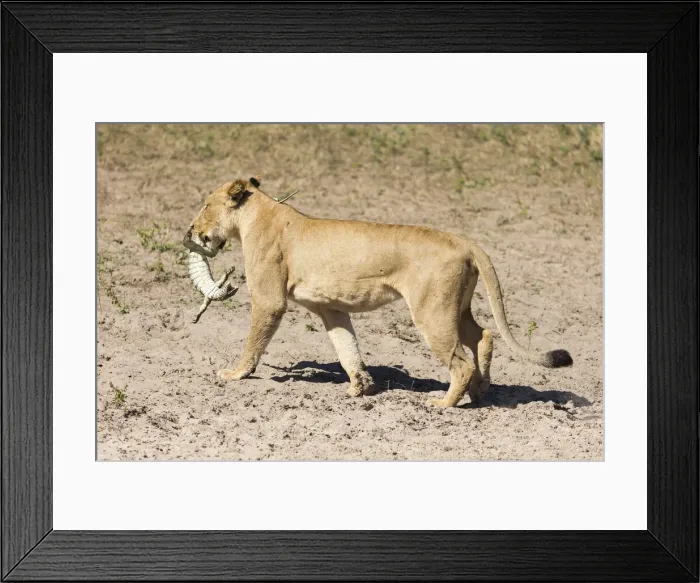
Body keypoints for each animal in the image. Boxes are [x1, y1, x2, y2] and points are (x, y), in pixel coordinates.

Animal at [183, 177, 572, 408]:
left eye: (204, 205)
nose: (190, 231)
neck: (255, 216)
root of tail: (465, 241)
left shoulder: (270, 300)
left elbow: (253, 342)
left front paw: (235, 374)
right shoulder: (331, 309)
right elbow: (347, 349)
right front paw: (360, 387)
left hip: (432, 312)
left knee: (460, 361)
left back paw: (444, 403)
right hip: (455, 308)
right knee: (484, 336)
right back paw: (480, 392)